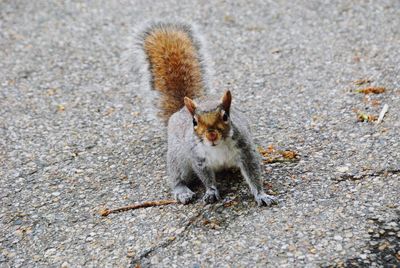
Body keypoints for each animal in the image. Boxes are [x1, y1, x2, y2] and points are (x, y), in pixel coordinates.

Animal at [136, 22, 276, 206]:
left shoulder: (245, 150)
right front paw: (211, 191)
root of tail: (179, 111)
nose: (211, 135)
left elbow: (253, 174)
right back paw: (182, 191)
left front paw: (261, 195)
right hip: (178, 157)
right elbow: (206, 178)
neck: (218, 147)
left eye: (225, 117)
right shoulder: (198, 158)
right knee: (177, 177)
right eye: (194, 122)